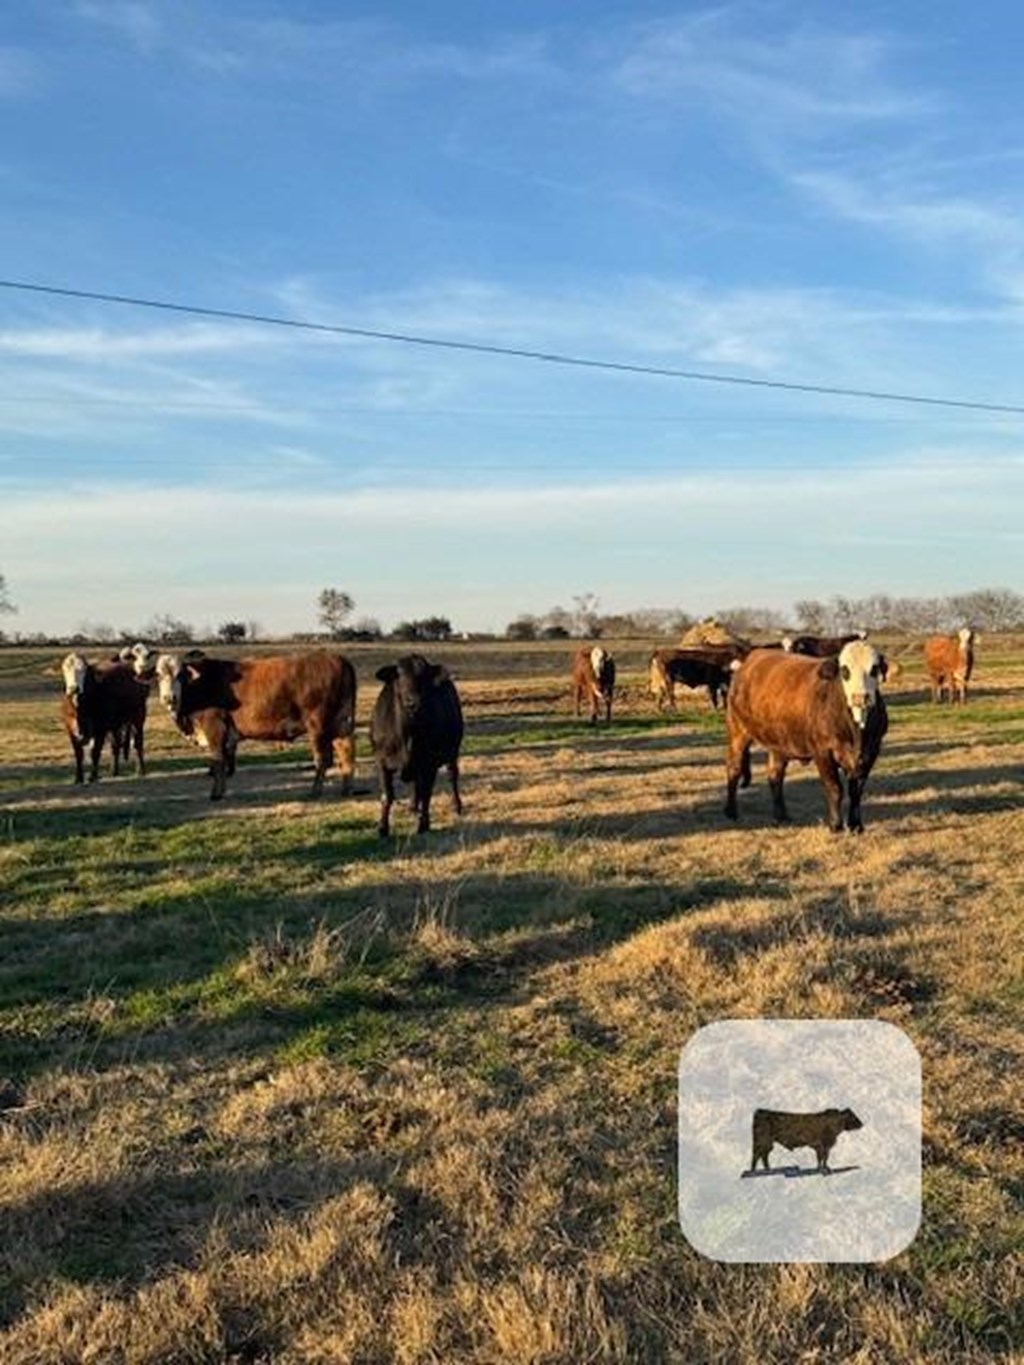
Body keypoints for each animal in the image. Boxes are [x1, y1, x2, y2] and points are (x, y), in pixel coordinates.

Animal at [59, 652, 148, 786]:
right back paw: (113, 771)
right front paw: (78, 779)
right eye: (66, 669)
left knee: (138, 743)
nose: (74, 688)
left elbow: (95, 752)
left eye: (83, 670)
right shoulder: (70, 728)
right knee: (115, 745)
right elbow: (78, 754)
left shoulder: (100, 728)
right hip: (115, 725)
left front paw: (93, 777)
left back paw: (140, 770)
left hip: (138, 717)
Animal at [154, 652, 357, 797]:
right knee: (346, 752)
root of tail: (338, 659)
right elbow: (224, 762)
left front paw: (216, 794)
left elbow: (218, 761)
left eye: (180, 675)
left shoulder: (214, 728)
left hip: (317, 726)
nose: (169, 698)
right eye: (158, 675)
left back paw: (315, 791)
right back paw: (346, 789)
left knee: (323, 760)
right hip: (341, 724)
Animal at [368, 655, 464, 835]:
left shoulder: (429, 763)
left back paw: (457, 806)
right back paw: (412, 807)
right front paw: (382, 827)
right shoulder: (381, 761)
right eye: (399, 674)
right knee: (415, 785)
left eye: (423, 676)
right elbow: (387, 795)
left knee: (452, 776)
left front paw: (423, 824)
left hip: (453, 751)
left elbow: (426, 793)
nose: (413, 702)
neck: (407, 735)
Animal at [720, 638, 890, 829]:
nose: (860, 697)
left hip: (779, 743)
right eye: (844, 670)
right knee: (734, 768)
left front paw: (856, 826)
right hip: (738, 732)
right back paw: (731, 811)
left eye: (874, 669)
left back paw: (781, 815)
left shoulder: (871, 752)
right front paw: (835, 825)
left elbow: (856, 792)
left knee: (775, 775)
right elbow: (834, 788)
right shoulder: (823, 752)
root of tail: (751, 658)